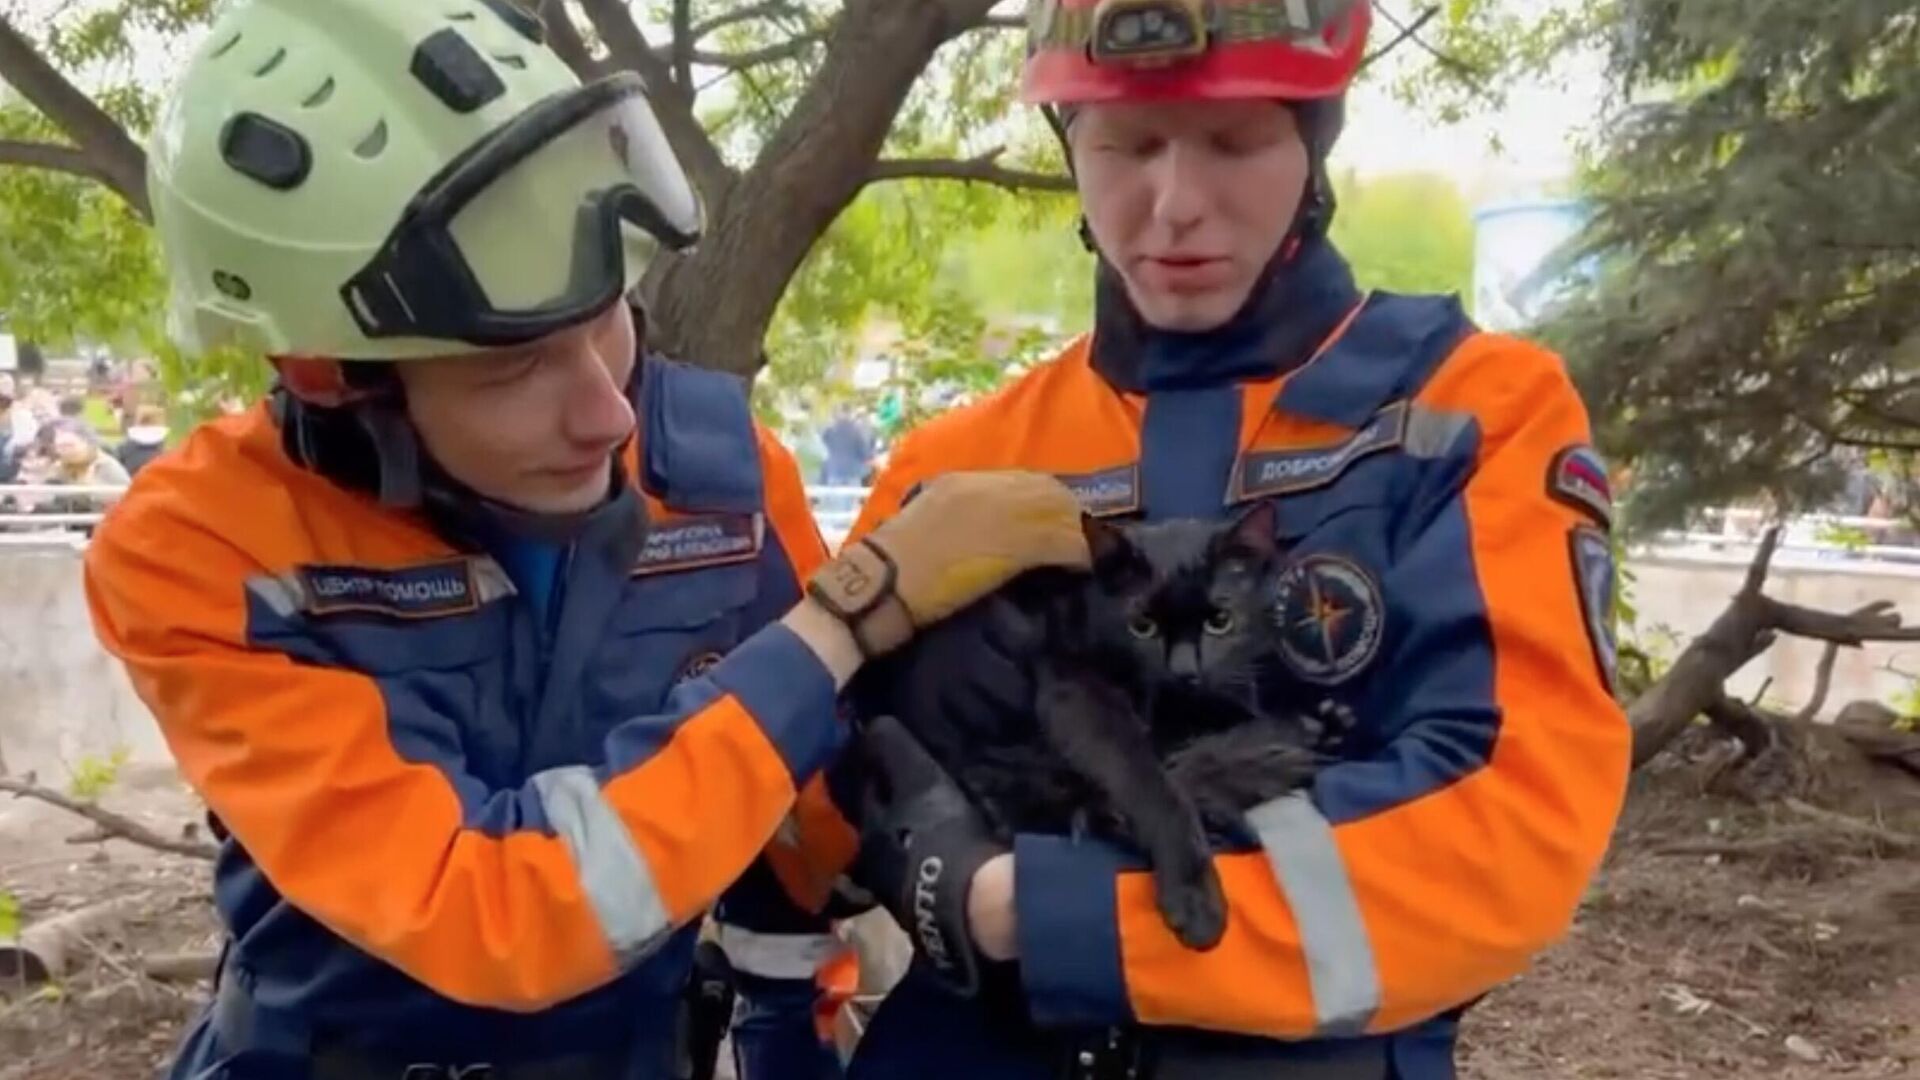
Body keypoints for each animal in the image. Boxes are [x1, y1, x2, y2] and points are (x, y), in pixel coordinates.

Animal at [864, 499, 1328, 945]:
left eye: (1220, 622)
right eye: (1142, 626)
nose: (1182, 671)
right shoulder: (1077, 692)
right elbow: (1151, 781)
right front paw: (1194, 896)